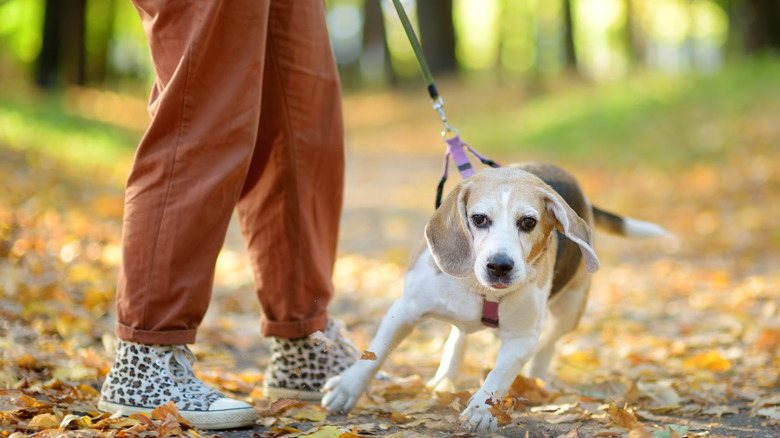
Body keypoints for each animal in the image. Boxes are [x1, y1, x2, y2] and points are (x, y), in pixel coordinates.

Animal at [320, 163, 668, 434]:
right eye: (479, 219)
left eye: (528, 221)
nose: (500, 265)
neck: (481, 287)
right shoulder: (405, 308)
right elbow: (375, 352)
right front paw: (347, 388)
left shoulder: (522, 338)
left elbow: (498, 375)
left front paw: (481, 410)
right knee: (458, 337)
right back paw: (445, 377)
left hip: (571, 309)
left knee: (547, 345)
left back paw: (537, 380)